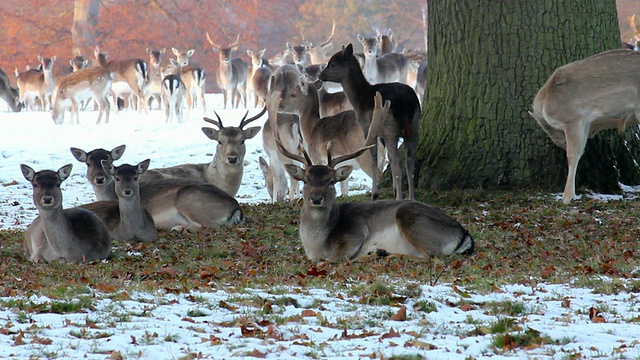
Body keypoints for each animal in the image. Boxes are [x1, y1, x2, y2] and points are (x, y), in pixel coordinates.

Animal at [70, 145, 245, 229]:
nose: (99, 178)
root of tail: (236, 209)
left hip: (190, 200)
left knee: (213, 226)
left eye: (109, 160)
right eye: (88, 163)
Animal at [276, 91, 476, 262]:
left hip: (411, 218)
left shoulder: (356, 233)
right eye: (306, 180)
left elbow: (336, 258)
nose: (316, 199)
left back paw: (382, 253)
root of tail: (464, 234)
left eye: (331, 182)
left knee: (433, 257)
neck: (315, 246)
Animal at [318, 44, 420, 200]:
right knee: (409, 159)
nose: (320, 75)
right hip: (414, 126)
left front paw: (375, 194)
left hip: (390, 128)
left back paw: (399, 198)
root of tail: (407, 103)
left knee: (397, 160)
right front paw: (393, 189)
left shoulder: (367, 128)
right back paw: (411, 197)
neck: (358, 100)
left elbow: (374, 158)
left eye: (332, 64)